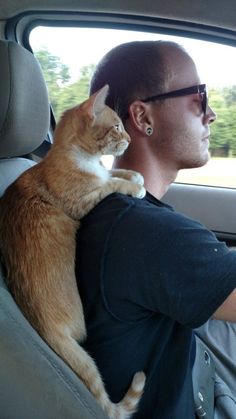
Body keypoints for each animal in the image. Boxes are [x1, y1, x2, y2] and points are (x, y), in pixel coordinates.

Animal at [0, 85, 146, 419]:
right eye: (117, 126)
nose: (131, 140)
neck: (87, 161)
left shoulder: (104, 173)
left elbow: (119, 173)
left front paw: (136, 176)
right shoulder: (82, 201)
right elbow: (111, 185)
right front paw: (135, 187)